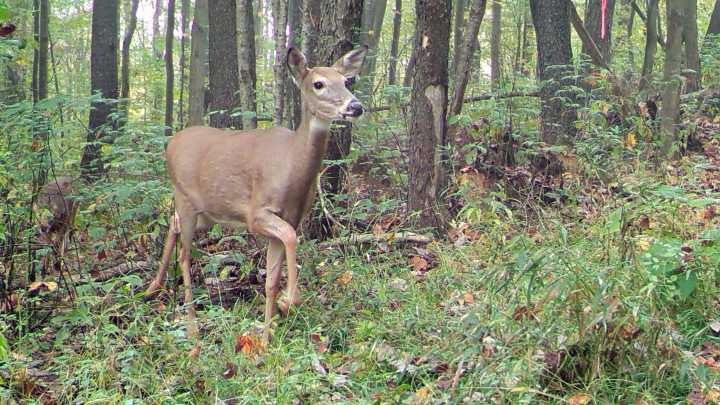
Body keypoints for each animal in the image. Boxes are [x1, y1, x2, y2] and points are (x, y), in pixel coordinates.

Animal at [145, 45, 368, 343]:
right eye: (318, 84)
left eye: (346, 81)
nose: (355, 106)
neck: (291, 167)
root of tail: (171, 143)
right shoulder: (256, 213)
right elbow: (290, 238)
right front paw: (289, 302)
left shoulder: (291, 217)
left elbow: (272, 279)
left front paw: (265, 337)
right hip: (184, 197)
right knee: (185, 255)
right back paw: (192, 327)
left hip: (207, 212)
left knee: (173, 222)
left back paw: (153, 288)